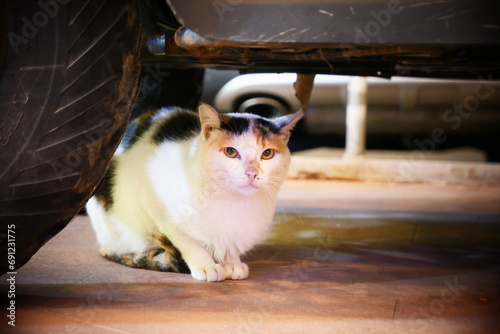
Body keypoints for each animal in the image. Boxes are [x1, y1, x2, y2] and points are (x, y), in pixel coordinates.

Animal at [86, 103, 302, 280]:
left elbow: (228, 244)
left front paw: (231, 262)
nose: (251, 173)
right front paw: (206, 265)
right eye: (231, 152)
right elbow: (188, 241)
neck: (230, 199)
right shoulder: (155, 203)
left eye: (267, 154)